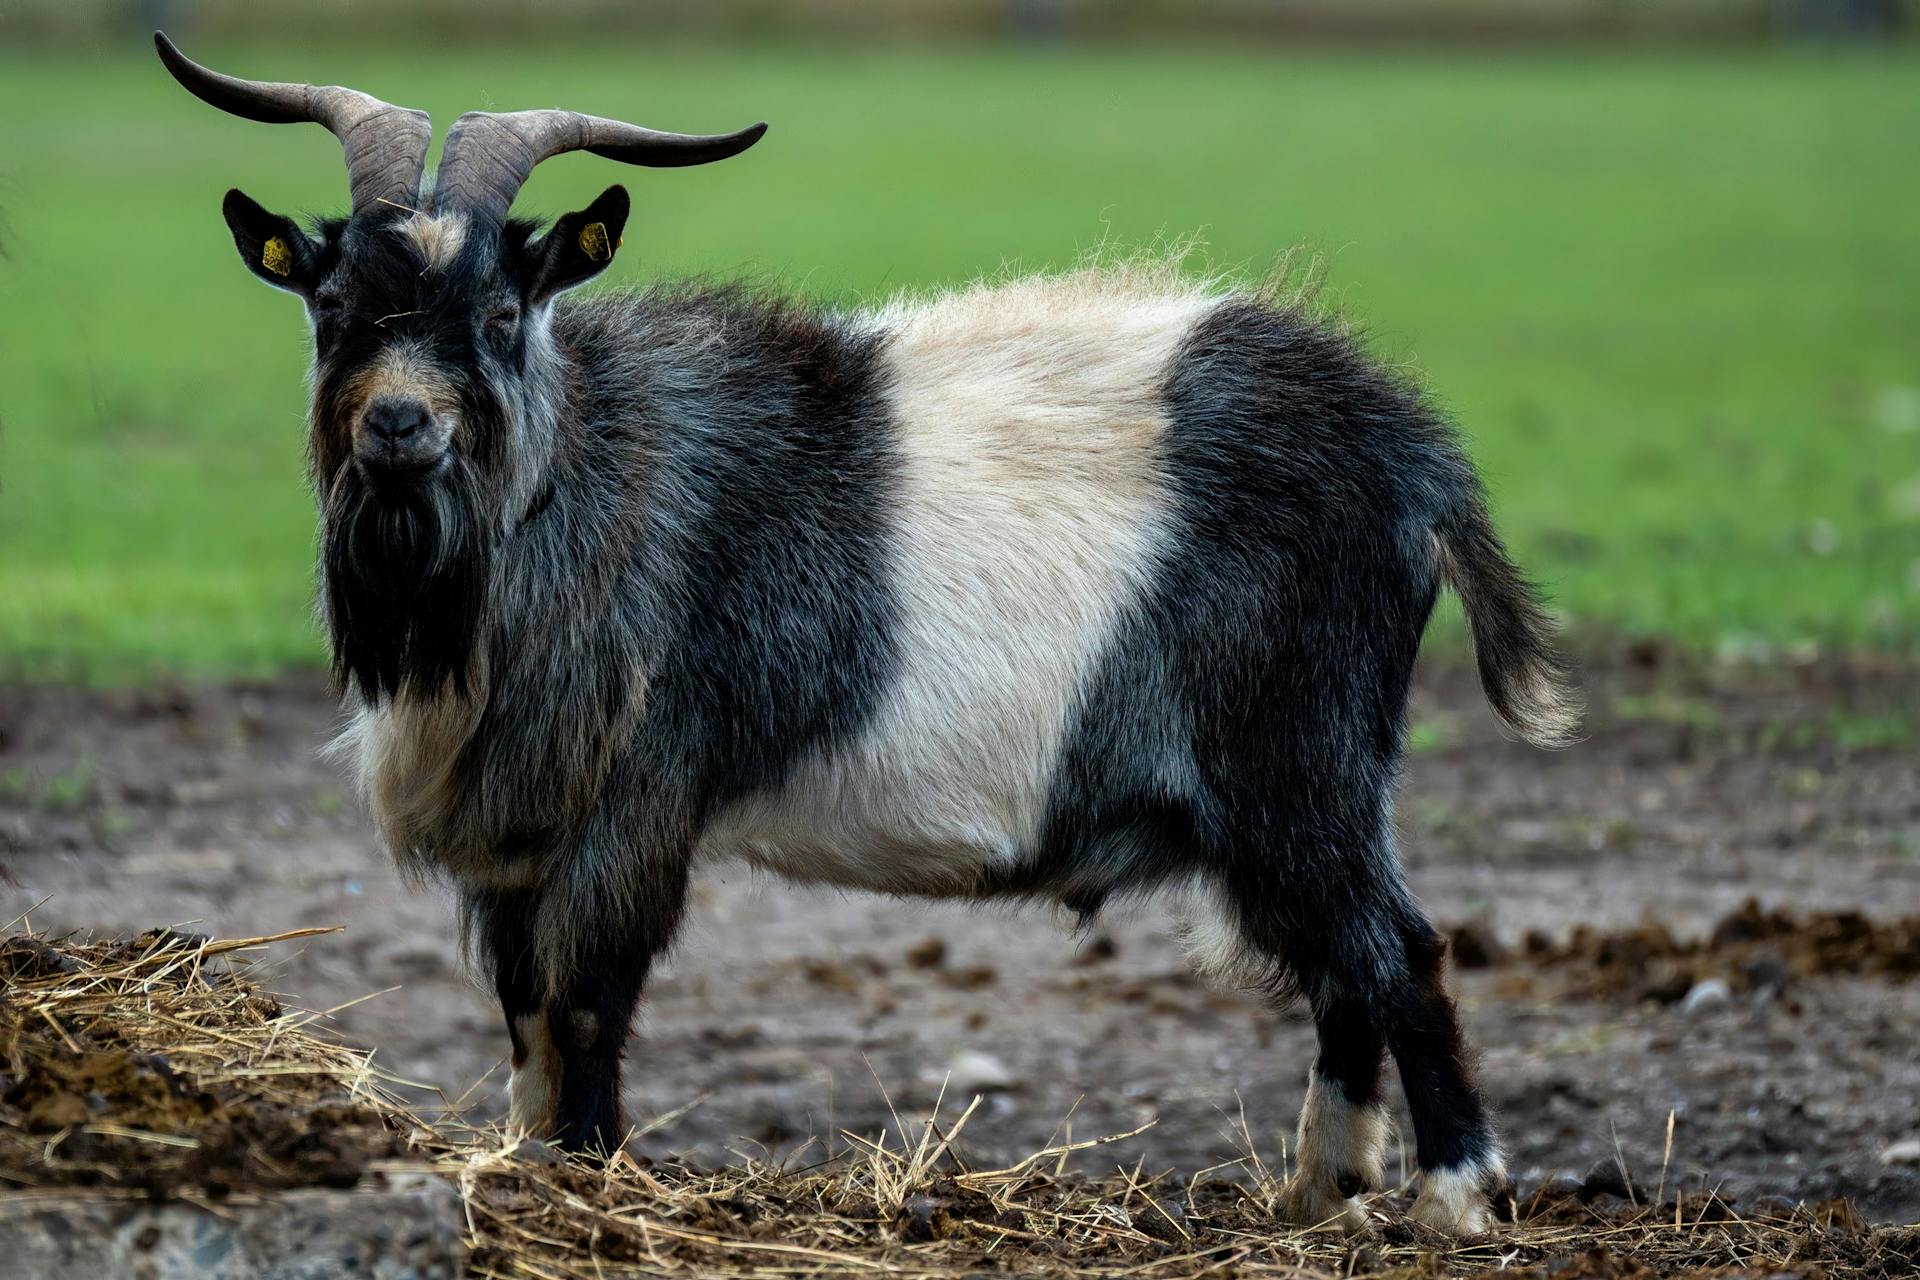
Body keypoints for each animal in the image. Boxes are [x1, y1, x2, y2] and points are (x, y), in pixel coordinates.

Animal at [165, 32, 1574, 1243]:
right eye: (332, 299)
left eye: (504, 312)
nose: (399, 424)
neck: (574, 474)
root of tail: (1412, 451)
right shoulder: (521, 833)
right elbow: (525, 1017)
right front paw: (526, 1166)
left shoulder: (633, 800)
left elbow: (589, 1002)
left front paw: (590, 1177)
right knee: (1343, 970)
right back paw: (1319, 1191)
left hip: (1299, 761)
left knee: (1397, 952)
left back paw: (1453, 1197)